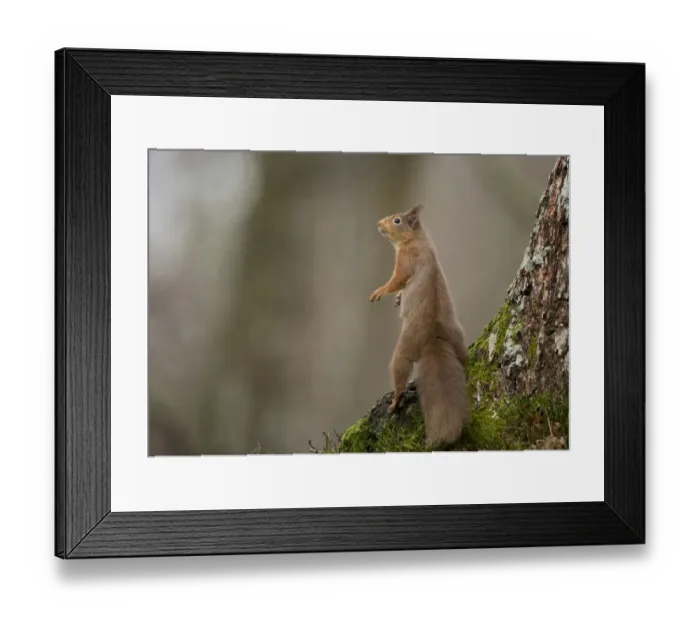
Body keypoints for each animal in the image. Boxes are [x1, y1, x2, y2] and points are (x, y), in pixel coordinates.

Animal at [369, 204, 471, 448]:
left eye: (397, 220)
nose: (378, 224)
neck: (416, 239)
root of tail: (433, 336)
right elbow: (400, 287)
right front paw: (398, 299)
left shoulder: (406, 260)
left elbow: (397, 281)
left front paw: (381, 292)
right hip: (457, 335)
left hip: (403, 351)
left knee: (400, 375)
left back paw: (395, 403)